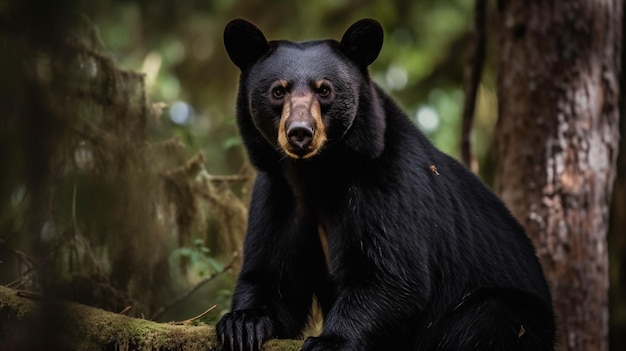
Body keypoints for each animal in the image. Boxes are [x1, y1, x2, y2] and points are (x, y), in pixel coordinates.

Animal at [217, 18, 552, 351]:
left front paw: (328, 342)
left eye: (325, 90)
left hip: (514, 315)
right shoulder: (280, 192)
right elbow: (271, 275)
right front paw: (242, 324)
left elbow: (390, 276)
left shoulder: (386, 180)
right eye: (278, 91)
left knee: (488, 317)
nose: (300, 132)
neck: (316, 173)